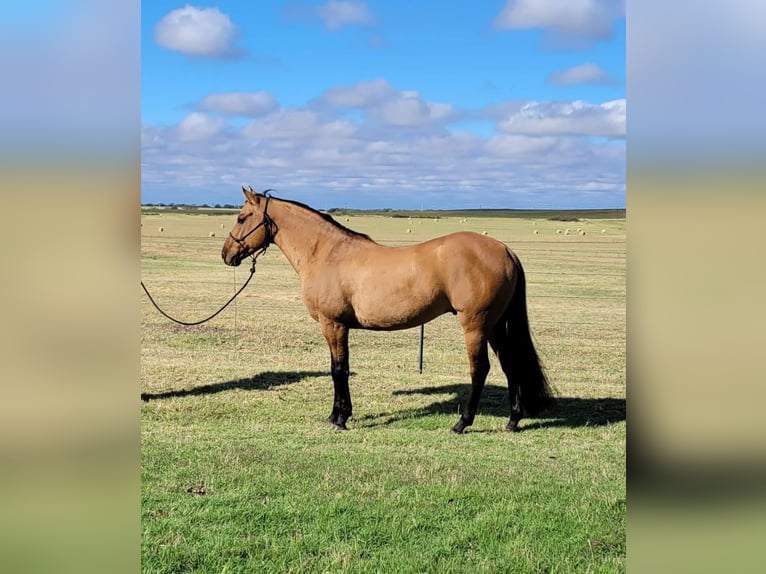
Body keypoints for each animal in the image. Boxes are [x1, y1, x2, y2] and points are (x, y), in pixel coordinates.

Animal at [219, 187, 556, 434]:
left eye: (241, 218)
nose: (226, 254)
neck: (327, 253)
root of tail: (504, 250)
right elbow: (338, 368)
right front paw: (337, 415)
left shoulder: (333, 324)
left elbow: (339, 370)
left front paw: (340, 418)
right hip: (497, 326)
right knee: (511, 366)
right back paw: (513, 421)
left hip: (476, 325)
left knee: (480, 369)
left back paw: (462, 423)